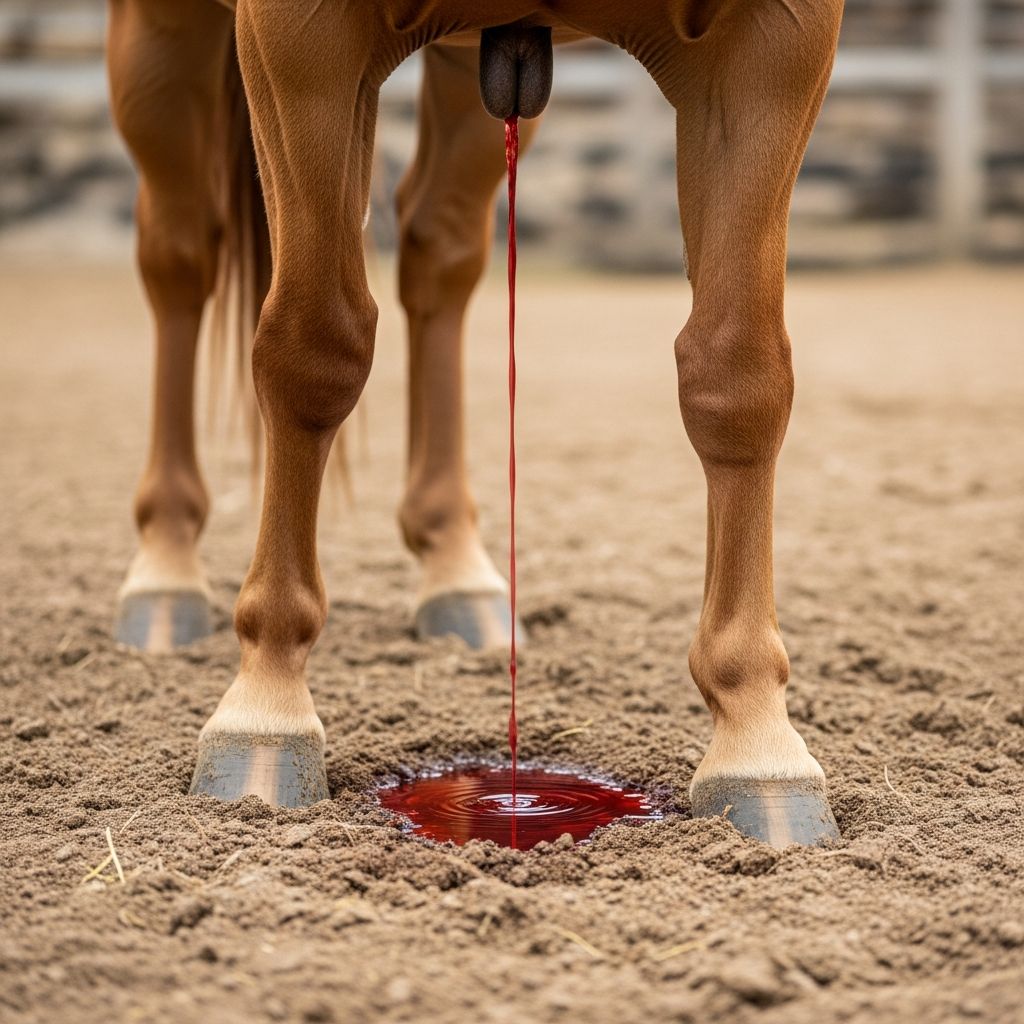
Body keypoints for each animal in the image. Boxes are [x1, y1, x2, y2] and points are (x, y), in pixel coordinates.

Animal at [106, 0, 845, 848]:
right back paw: (165, 570)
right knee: (180, 252)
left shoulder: (773, 46)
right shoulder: (297, 39)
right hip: (159, 37)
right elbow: (313, 350)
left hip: (474, 71)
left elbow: (739, 377)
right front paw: (265, 711)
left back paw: (454, 564)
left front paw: (758, 744)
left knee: (439, 248)